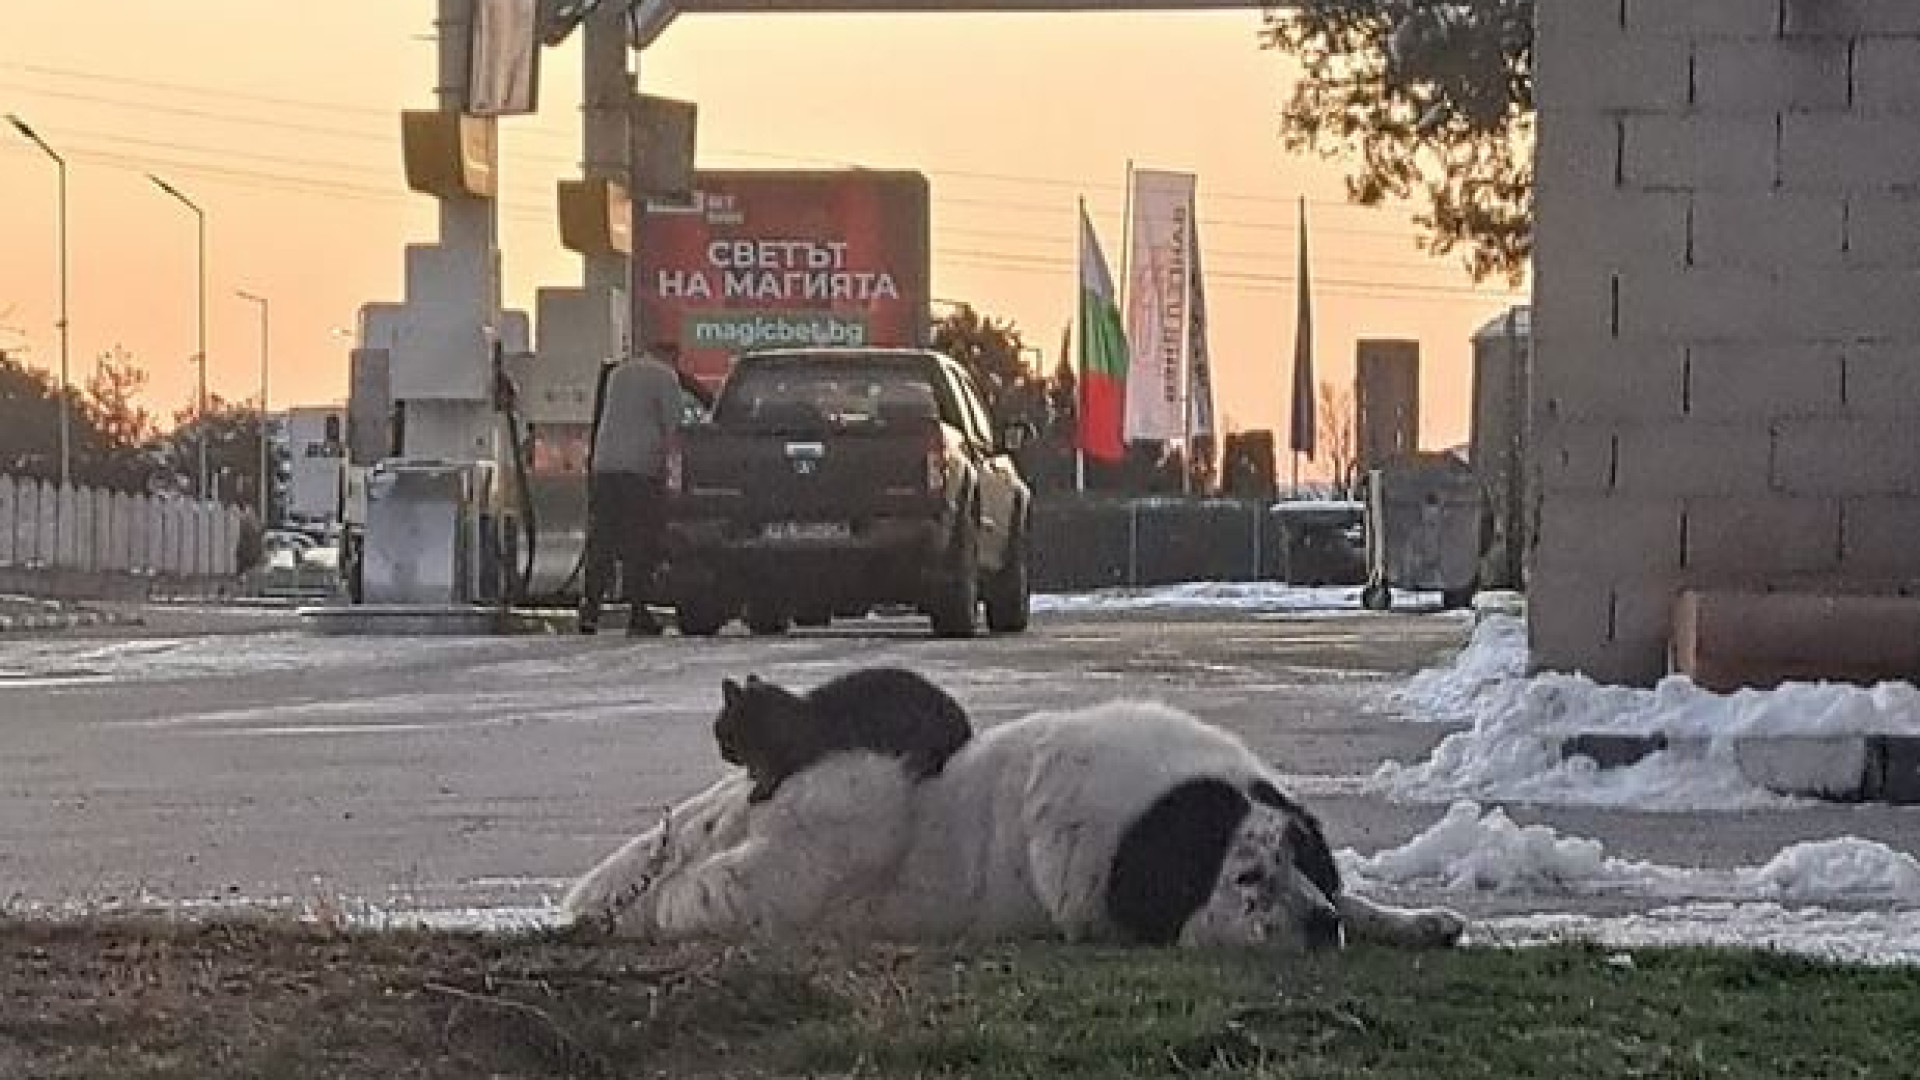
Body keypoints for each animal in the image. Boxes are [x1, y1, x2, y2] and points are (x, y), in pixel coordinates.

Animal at [560, 691, 1459, 945]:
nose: (1317, 926)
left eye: (1303, 861)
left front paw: (1408, 919)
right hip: (848, 818)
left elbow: (1360, 899)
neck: (1152, 822)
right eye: (1247, 878)